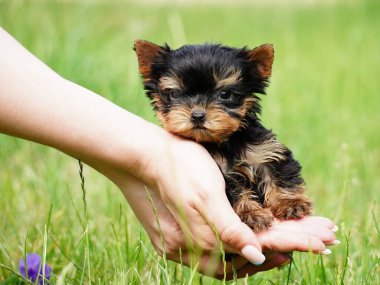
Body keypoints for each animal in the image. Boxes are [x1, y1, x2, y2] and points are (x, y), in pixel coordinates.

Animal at [134, 40, 312, 231]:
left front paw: (290, 203)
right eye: (174, 94)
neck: (223, 141)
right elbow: (234, 191)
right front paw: (251, 213)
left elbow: (280, 174)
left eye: (225, 94)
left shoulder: (266, 151)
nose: (197, 115)